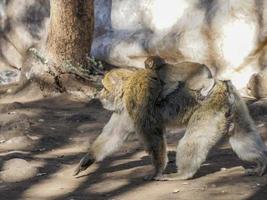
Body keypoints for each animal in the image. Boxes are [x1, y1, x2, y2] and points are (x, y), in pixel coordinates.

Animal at [74, 56, 267, 181]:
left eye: (104, 88)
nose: (99, 95)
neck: (126, 88)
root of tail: (221, 86)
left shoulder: (138, 98)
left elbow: (153, 135)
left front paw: (157, 170)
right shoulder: (125, 110)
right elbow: (113, 135)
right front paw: (88, 159)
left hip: (210, 110)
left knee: (192, 140)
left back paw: (183, 174)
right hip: (235, 107)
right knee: (242, 136)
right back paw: (261, 163)